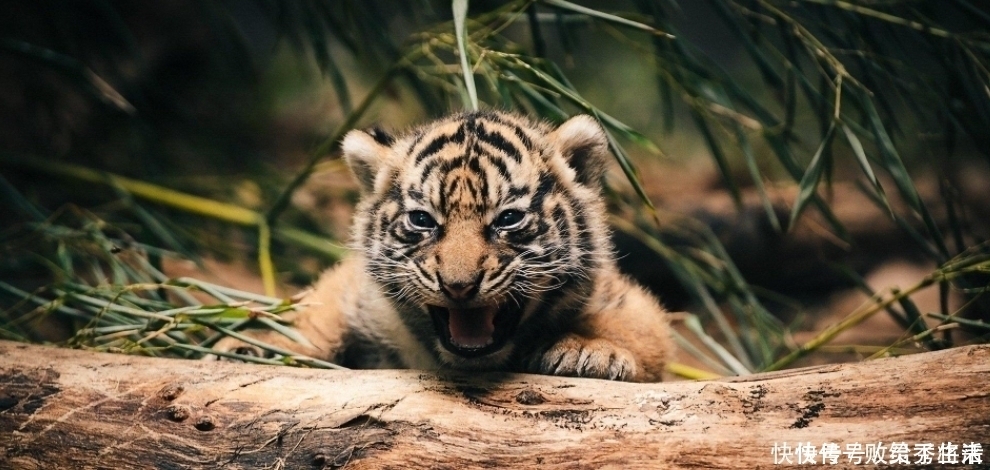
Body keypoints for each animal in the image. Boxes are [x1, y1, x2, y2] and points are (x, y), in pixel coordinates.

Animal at [212, 110, 674, 382]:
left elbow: (640, 327)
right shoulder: (355, 291)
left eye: (508, 219)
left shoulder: (623, 297)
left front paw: (587, 351)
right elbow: (315, 310)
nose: (458, 286)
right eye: (423, 221)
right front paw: (253, 344)